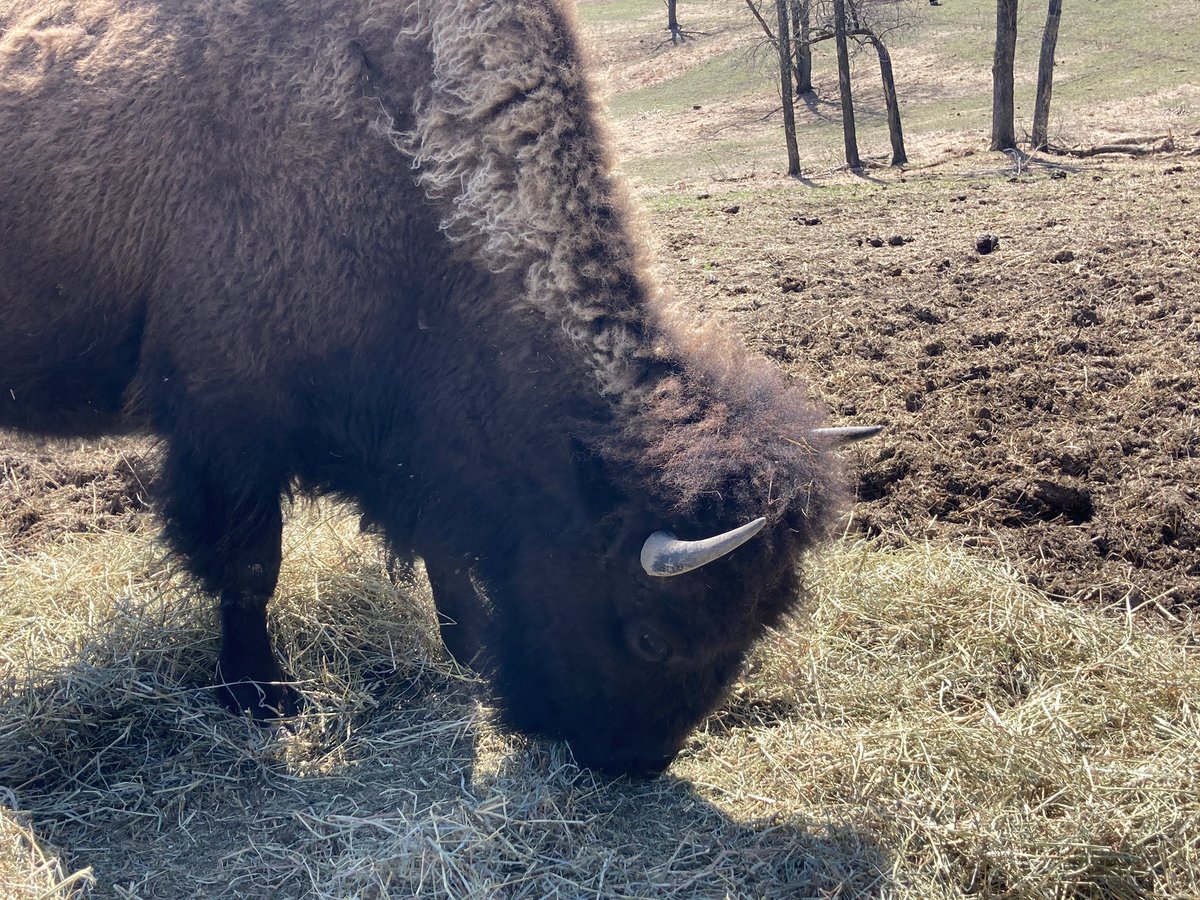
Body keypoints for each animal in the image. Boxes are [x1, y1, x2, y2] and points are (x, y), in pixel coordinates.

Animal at [0, 0, 877, 775]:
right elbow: (251, 563)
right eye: (649, 637)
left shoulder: (417, 444)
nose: (635, 762)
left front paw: (473, 650)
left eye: (757, 630)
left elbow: (442, 548)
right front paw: (262, 696)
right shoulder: (228, 423)